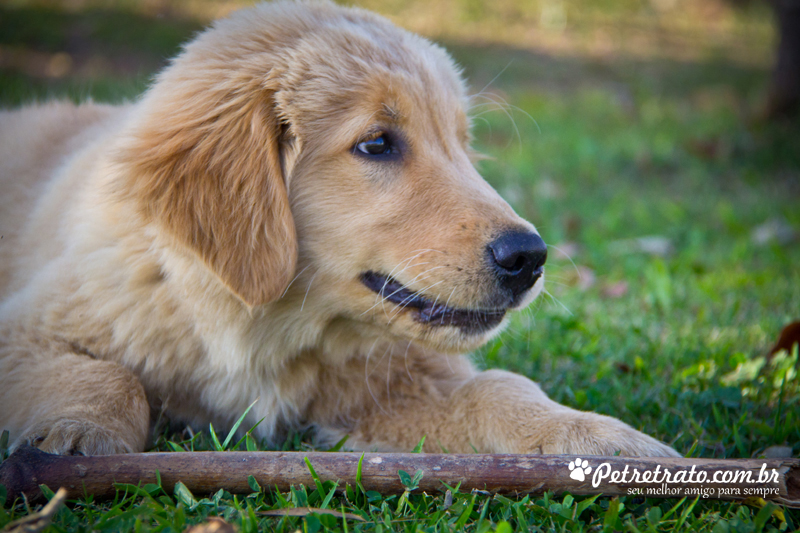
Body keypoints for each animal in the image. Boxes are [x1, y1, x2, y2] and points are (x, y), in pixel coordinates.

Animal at [0, 1, 680, 458]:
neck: (268, 329)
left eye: (462, 146)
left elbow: (501, 389)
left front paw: (599, 438)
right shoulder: (33, 321)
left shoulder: (399, 382)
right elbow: (106, 374)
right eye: (377, 143)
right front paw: (78, 434)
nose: (531, 257)